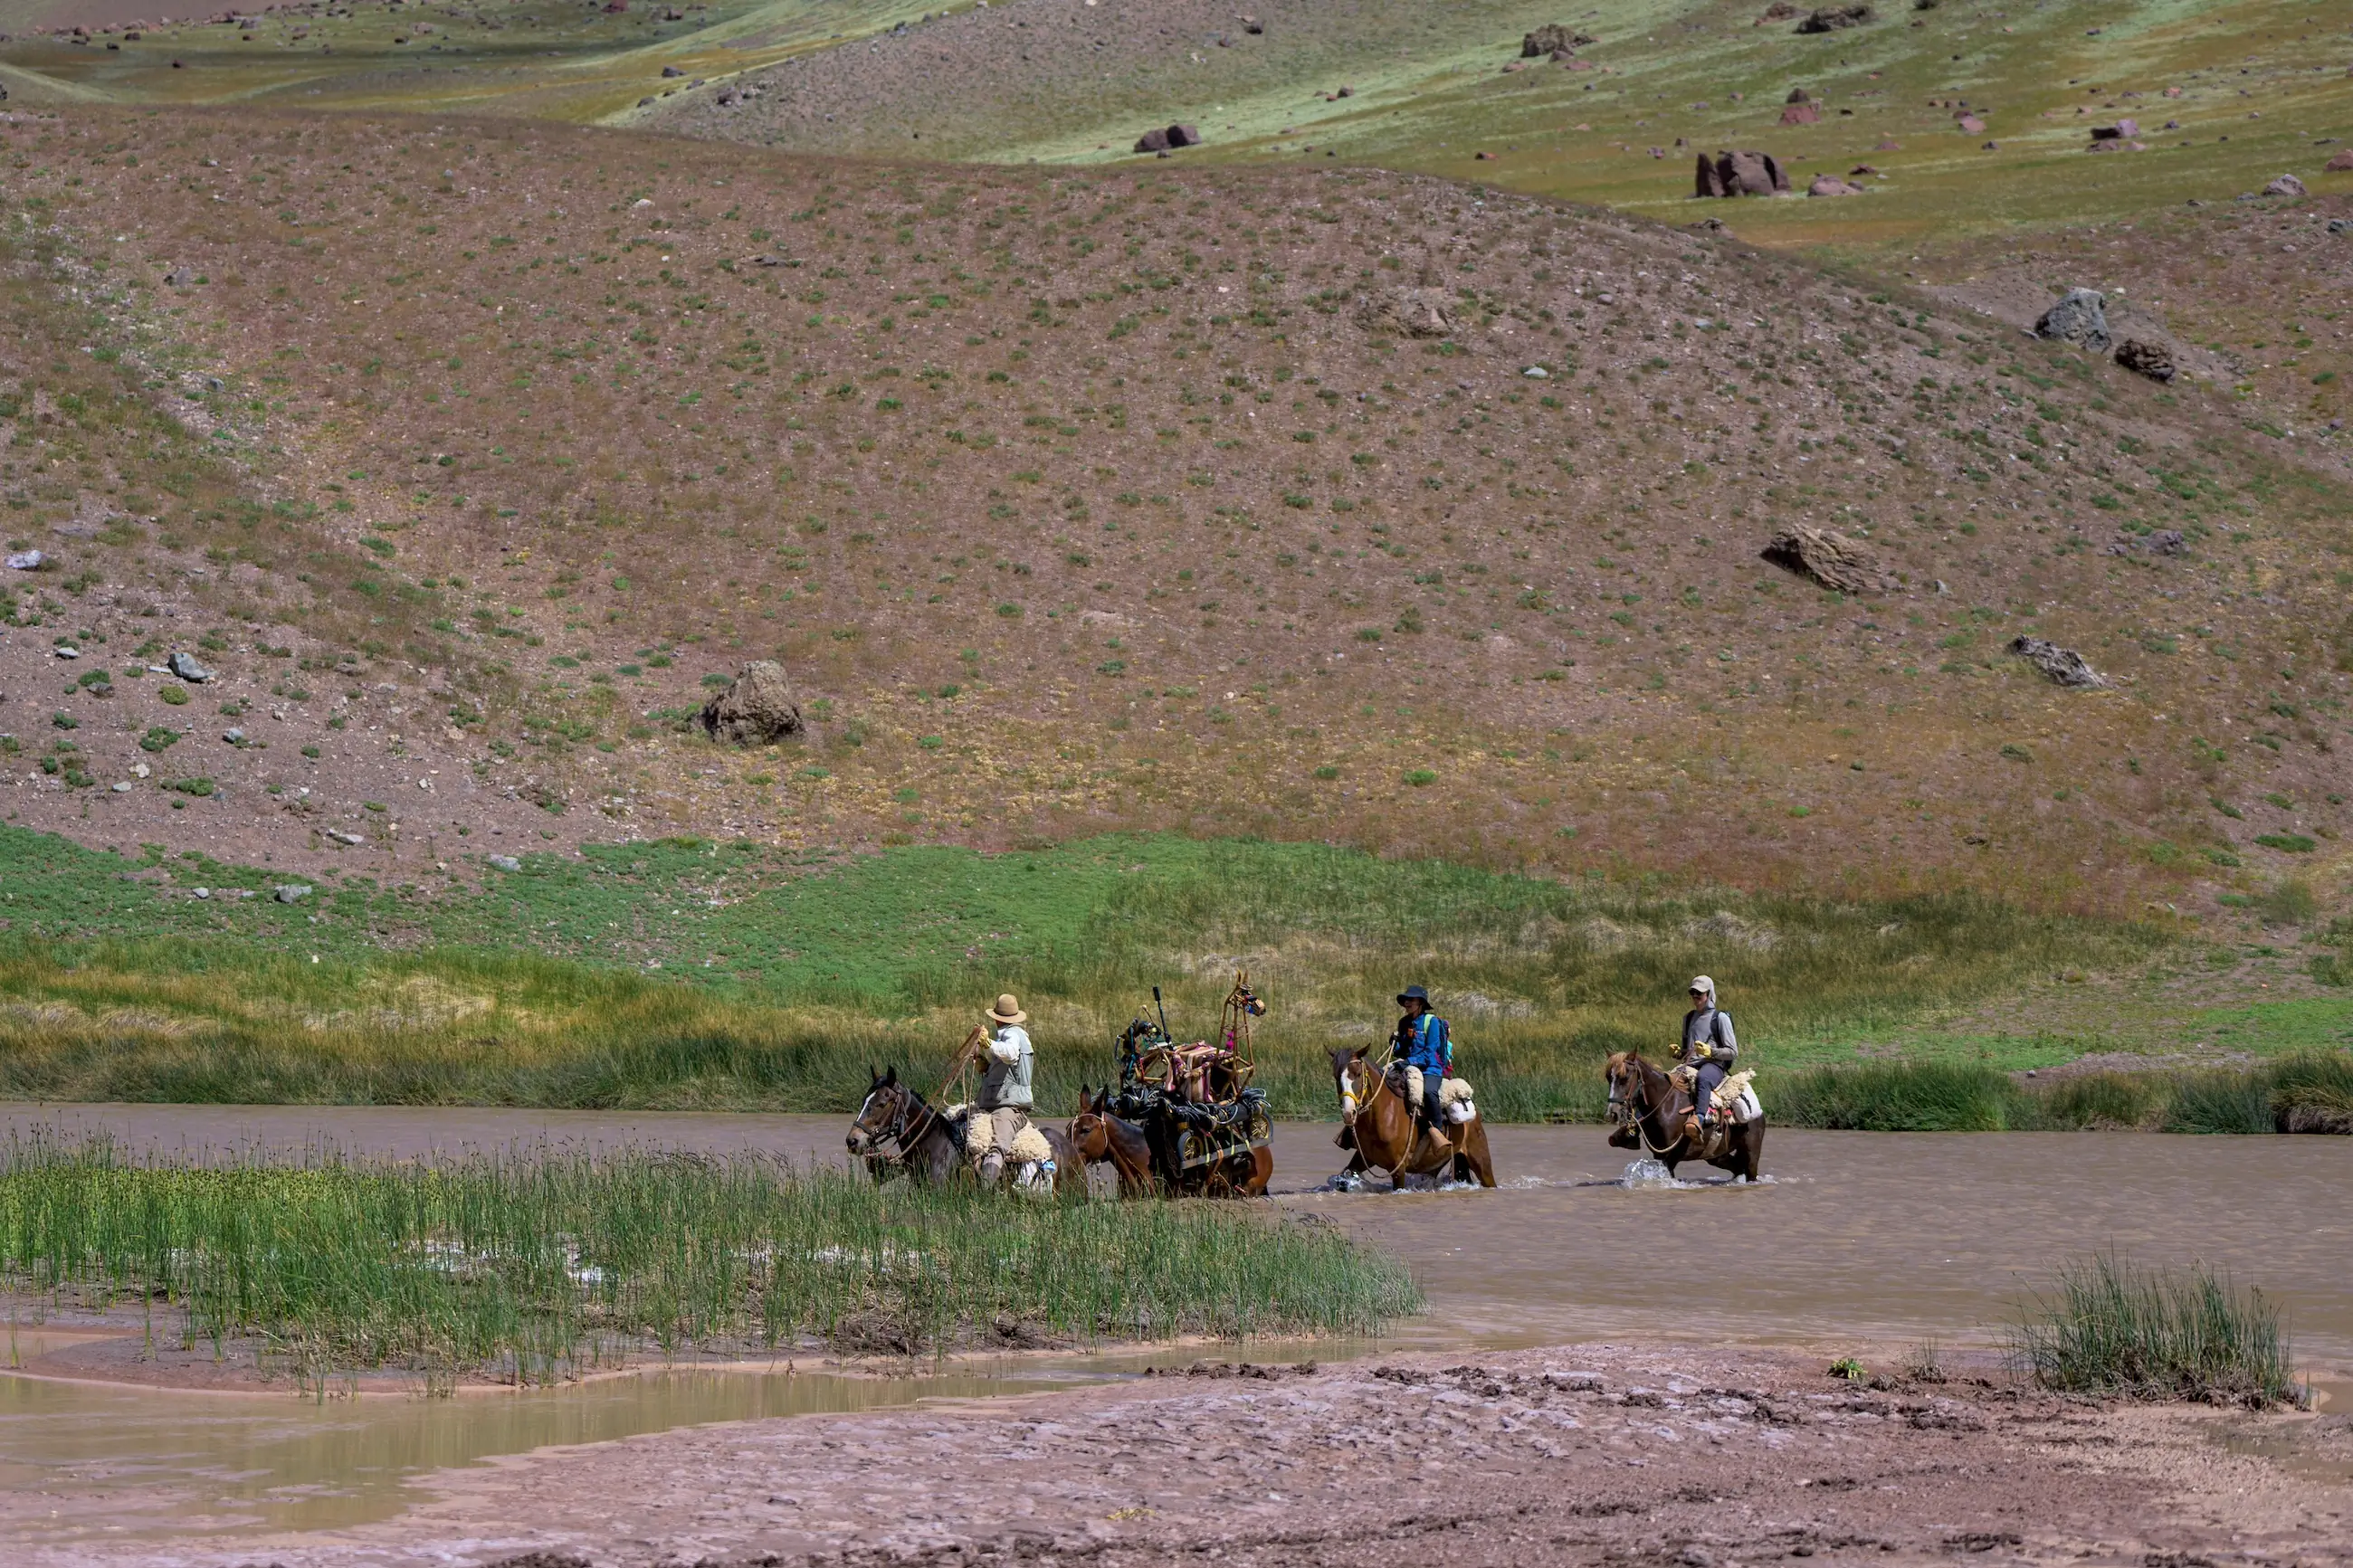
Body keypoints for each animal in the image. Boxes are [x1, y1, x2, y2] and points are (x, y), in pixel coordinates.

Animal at [1336, 1048, 1496, 1193]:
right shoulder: (1365, 1157)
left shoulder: (1398, 1168)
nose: (1348, 1113)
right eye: (1336, 1077)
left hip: (1480, 1161)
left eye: (1357, 1074)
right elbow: (1344, 1178)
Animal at [1599, 1048, 1769, 1184]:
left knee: (1750, 1172)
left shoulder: (1672, 1155)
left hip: (1751, 1151)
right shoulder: (1659, 1154)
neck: (1667, 1105)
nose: (1612, 1113)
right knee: (1738, 1168)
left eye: (1625, 1078)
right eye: (1608, 1077)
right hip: (1718, 1155)